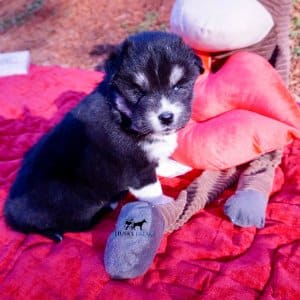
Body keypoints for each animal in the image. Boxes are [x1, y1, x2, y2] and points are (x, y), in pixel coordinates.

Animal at [3, 31, 203, 241]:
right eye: (137, 91)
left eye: (178, 86)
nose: (166, 117)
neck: (123, 114)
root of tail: (10, 214)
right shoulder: (135, 167)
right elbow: (152, 189)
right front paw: (166, 202)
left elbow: (160, 161)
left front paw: (176, 167)